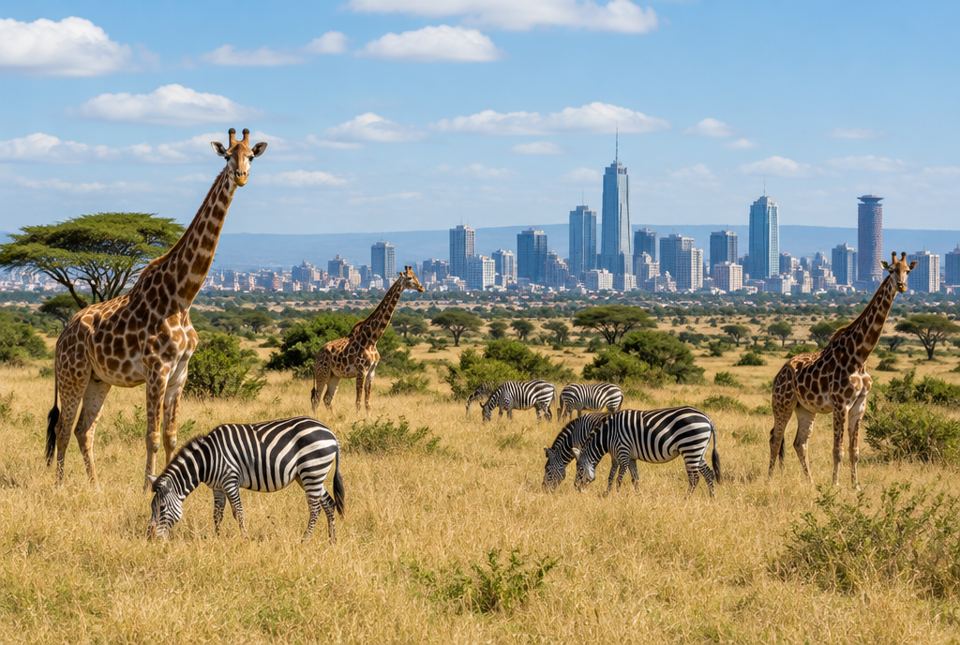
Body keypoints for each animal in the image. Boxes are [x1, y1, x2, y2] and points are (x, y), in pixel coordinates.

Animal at [45, 128, 267, 489]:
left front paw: (176, 482)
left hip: (98, 379)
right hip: (72, 374)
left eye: (250, 156)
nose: (241, 176)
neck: (182, 297)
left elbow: (170, 435)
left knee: (83, 429)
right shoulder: (156, 369)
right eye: (226, 156)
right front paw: (149, 483)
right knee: (64, 428)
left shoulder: (180, 373)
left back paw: (95, 485)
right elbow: (150, 434)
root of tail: (62, 335)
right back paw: (60, 485)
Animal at [146, 416, 345, 542]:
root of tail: (331, 433)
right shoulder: (217, 487)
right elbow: (217, 514)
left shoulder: (230, 481)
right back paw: (332, 540)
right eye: (152, 508)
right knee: (328, 503)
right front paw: (217, 537)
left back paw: (305, 540)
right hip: (309, 475)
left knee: (315, 509)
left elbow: (239, 512)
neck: (207, 459)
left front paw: (245, 538)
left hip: (312, 469)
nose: (151, 538)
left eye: (161, 508)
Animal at [311, 266, 424, 413]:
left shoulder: (371, 371)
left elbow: (367, 403)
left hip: (335, 375)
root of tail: (317, 355)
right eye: (410, 278)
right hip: (322, 373)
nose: (421, 288)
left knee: (327, 399)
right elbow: (358, 401)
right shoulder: (361, 371)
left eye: (416, 276)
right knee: (316, 399)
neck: (372, 339)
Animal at [573, 407, 721, 496]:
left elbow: (619, 478)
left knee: (694, 478)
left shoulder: (623, 452)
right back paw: (712, 498)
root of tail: (707, 418)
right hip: (698, 450)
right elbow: (632, 478)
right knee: (708, 474)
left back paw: (686, 499)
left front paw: (617, 495)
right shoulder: (629, 457)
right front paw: (636, 495)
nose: (576, 488)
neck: (608, 435)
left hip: (690, 447)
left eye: (580, 469)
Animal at [768, 251, 916, 489]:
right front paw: (835, 485)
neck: (860, 356)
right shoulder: (840, 405)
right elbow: (838, 450)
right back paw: (770, 479)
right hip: (783, 403)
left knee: (799, 442)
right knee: (776, 438)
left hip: (805, 408)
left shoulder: (859, 406)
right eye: (891, 270)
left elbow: (855, 451)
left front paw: (856, 486)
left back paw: (811, 482)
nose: (901, 285)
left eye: (908, 271)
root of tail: (779, 373)